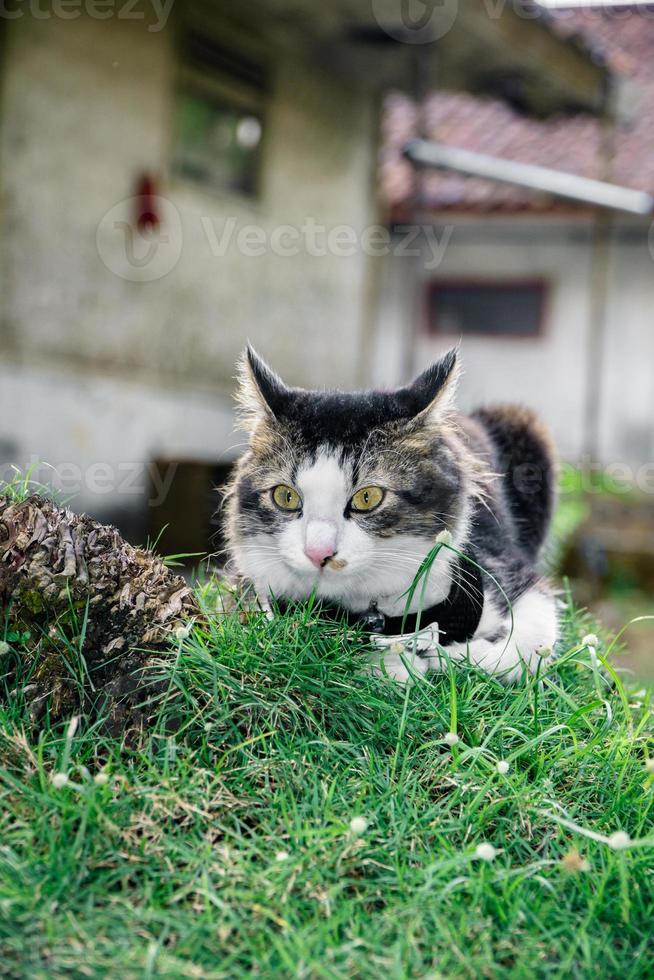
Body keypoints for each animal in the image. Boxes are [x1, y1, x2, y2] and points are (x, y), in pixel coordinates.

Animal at [226, 346, 560, 680]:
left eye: (368, 497)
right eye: (286, 496)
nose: (318, 553)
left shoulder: (506, 567)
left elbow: (532, 642)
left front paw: (452, 656)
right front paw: (397, 667)